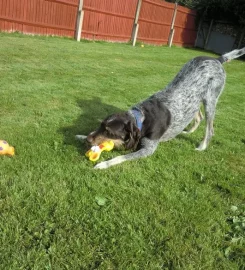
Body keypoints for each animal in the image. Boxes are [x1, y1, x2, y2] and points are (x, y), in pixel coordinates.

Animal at [76, 47, 245, 168]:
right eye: (101, 125)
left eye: (109, 131)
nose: (88, 140)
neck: (142, 118)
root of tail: (217, 59)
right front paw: (82, 136)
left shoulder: (148, 149)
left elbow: (119, 157)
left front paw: (103, 164)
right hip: (195, 99)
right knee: (198, 116)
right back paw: (187, 131)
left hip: (210, 100)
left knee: (209, 128)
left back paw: (202, 146)